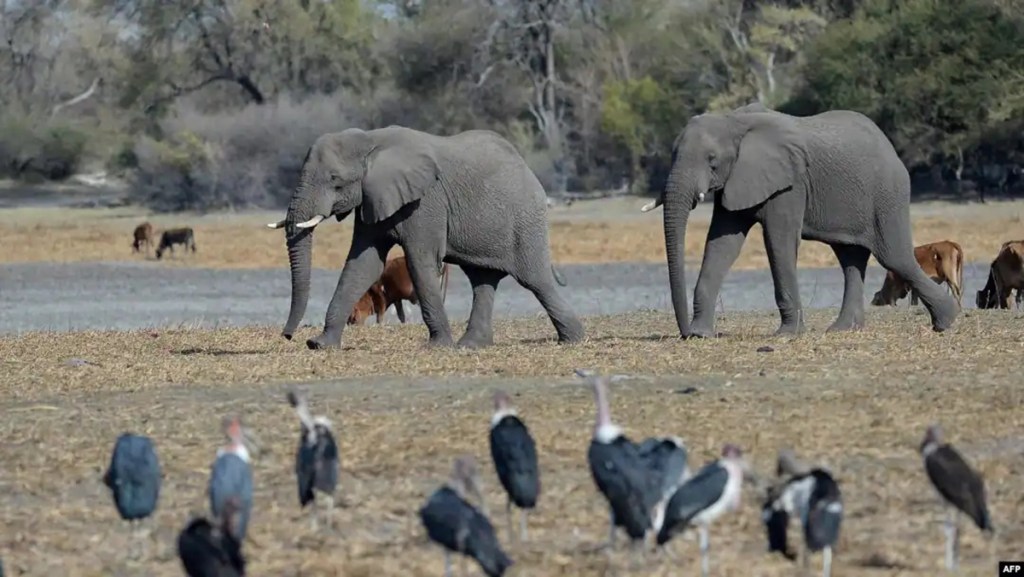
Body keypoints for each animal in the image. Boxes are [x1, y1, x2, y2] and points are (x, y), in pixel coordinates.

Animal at [267, 125, 585, 350]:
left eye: (335, 180)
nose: (287, 336)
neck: (371, 140)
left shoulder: (425, 202)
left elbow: (420, 262)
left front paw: (436, 346)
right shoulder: (373, 199)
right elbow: (362, 264)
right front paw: (320, 345)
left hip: (525, 221)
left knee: (536, 280)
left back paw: (573, 339)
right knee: (482, 281)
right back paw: (471, 346)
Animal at [641, 104, 959, 337]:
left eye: (712, 160)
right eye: (673, 154)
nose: (683, 332)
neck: (734, 120)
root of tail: (892, 150)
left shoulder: (790, 183)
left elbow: (778, 240)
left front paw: (787, 335)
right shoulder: (738, 179)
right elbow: (722, 242)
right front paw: (700, 334)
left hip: (887, 194)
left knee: (895, 256)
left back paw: (946, 321)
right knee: (851, 259)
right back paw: (842, 330)